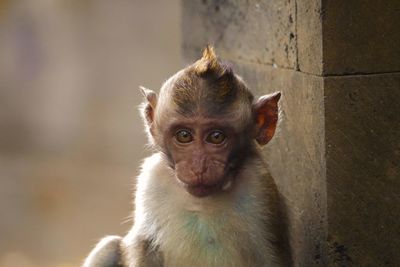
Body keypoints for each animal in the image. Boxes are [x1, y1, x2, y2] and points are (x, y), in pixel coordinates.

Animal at [82, 46, 288, 267]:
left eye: (216, 137)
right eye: (184, 135)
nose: (198, 167)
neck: (201, 201)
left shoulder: (259, 187)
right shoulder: (152, 177)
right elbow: (143, 245)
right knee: (110, 246)